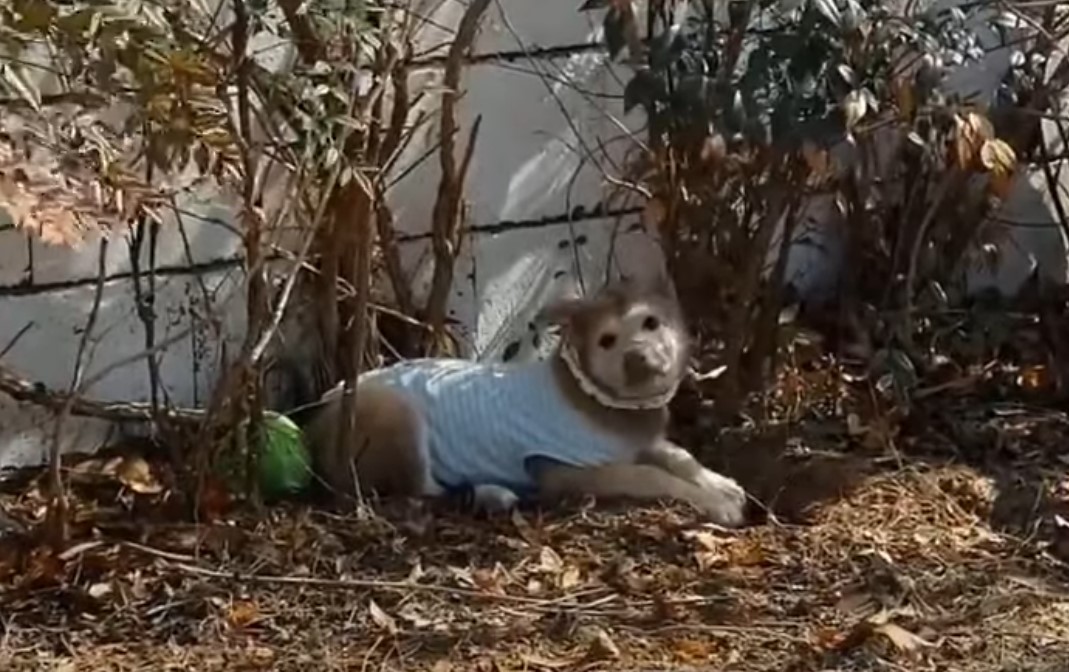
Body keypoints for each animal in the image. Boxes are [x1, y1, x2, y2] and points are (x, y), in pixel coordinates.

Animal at [303, 272, 744, 523]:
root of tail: (317, 424)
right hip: (397, 412)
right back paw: (490, 492)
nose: (638, 358)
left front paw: (721, 483)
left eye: (652, 323)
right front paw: (715, 503)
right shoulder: (571, 468)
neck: (594, 396)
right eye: (606, 341)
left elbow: (679, 455)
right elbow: (650, 475)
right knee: (423, 490)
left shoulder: (639, 441)